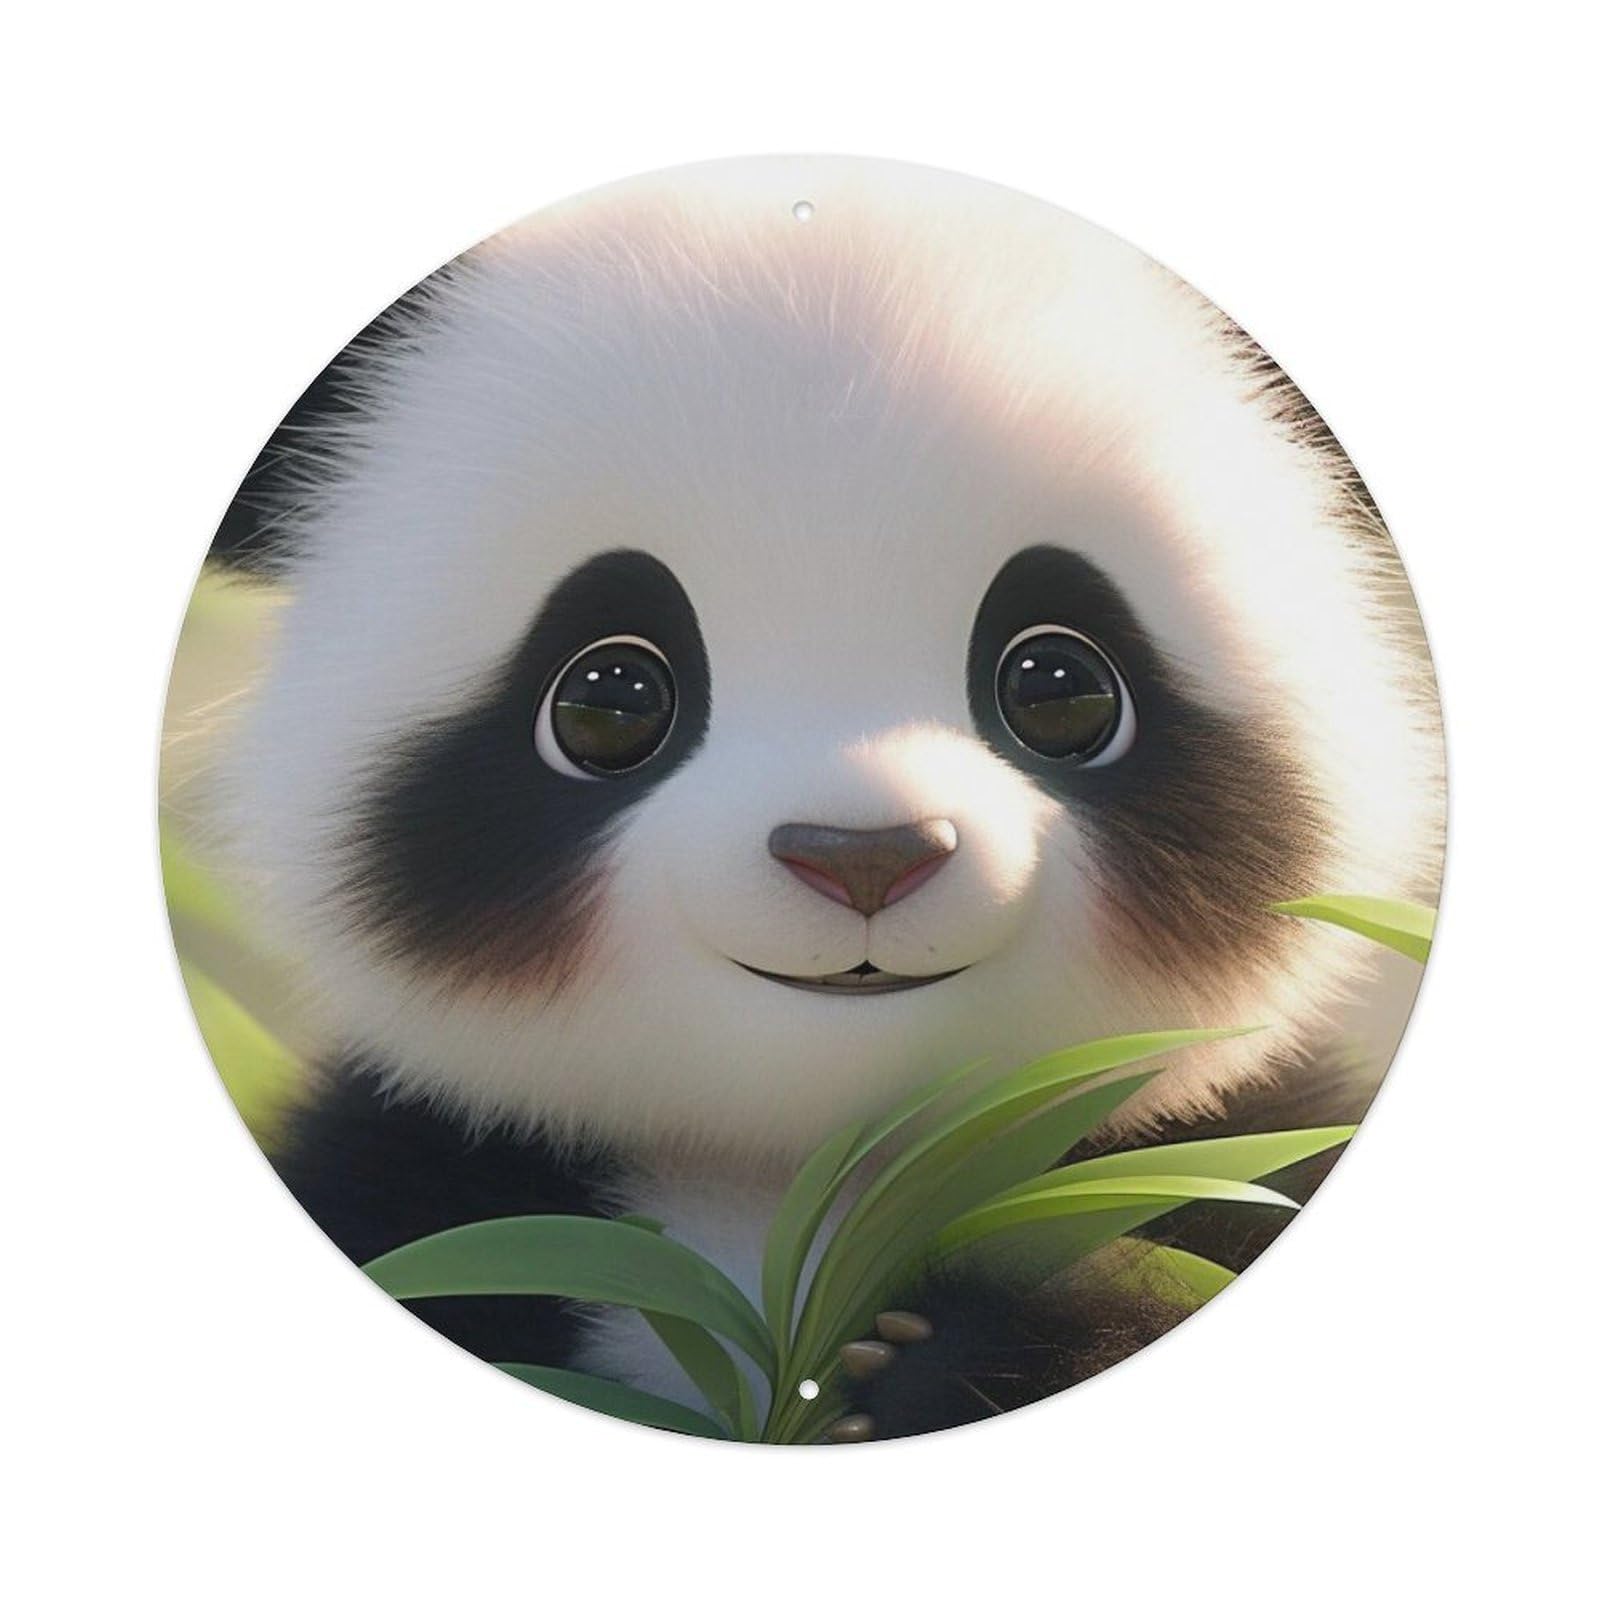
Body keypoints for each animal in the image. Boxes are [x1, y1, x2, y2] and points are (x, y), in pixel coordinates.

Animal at [203, 157, 1444, 1441]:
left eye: (1059, 685)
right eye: (607, 697)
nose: (862, 854)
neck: (802, 1178)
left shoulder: (1241, 1153)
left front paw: (944, 1356)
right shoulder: (422, 1191)